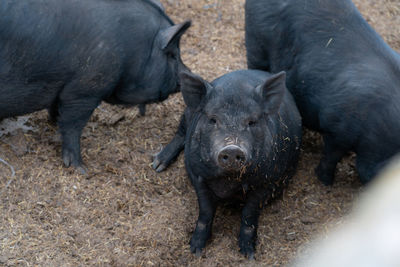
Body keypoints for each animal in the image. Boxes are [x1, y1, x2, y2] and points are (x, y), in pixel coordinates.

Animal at [0, 0, 191, 172]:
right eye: (172, 54)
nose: (189, 73)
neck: (135, 51)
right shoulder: (84, 91)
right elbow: (72, 126)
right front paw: (80, 168)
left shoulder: (63, 88)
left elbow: (56, 111)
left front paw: (54, 123)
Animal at [152, 70, 300, 258]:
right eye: (213, 120)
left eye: (252, 122)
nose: (231, 148)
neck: (228, 182)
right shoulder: (197, 174)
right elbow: (205, 211)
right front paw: (195, 250)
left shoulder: (269, 180)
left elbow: (250, 213)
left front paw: (248, 254)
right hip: (187, 113)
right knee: (180, 133)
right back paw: (157, 164)